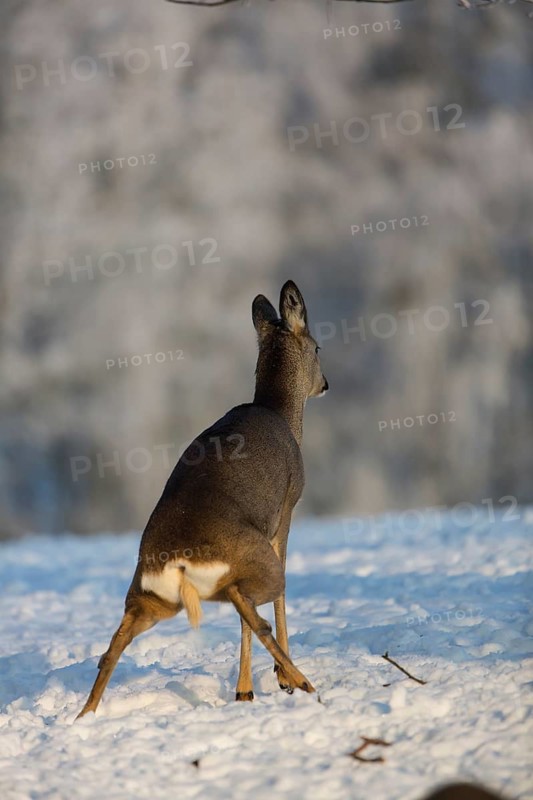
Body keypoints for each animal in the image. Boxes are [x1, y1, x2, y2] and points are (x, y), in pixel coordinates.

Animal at [77, 280, 328, 718]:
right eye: (316, 348)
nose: (327, 383)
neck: (280, 412)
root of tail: (178, 560)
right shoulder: (286, 509)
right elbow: (280, 599)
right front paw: (269, 683)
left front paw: (248, 690)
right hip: (252, 559)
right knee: (249, 603)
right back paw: (299, 679)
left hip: (151, 596)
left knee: (113, 644)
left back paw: (83, 715)